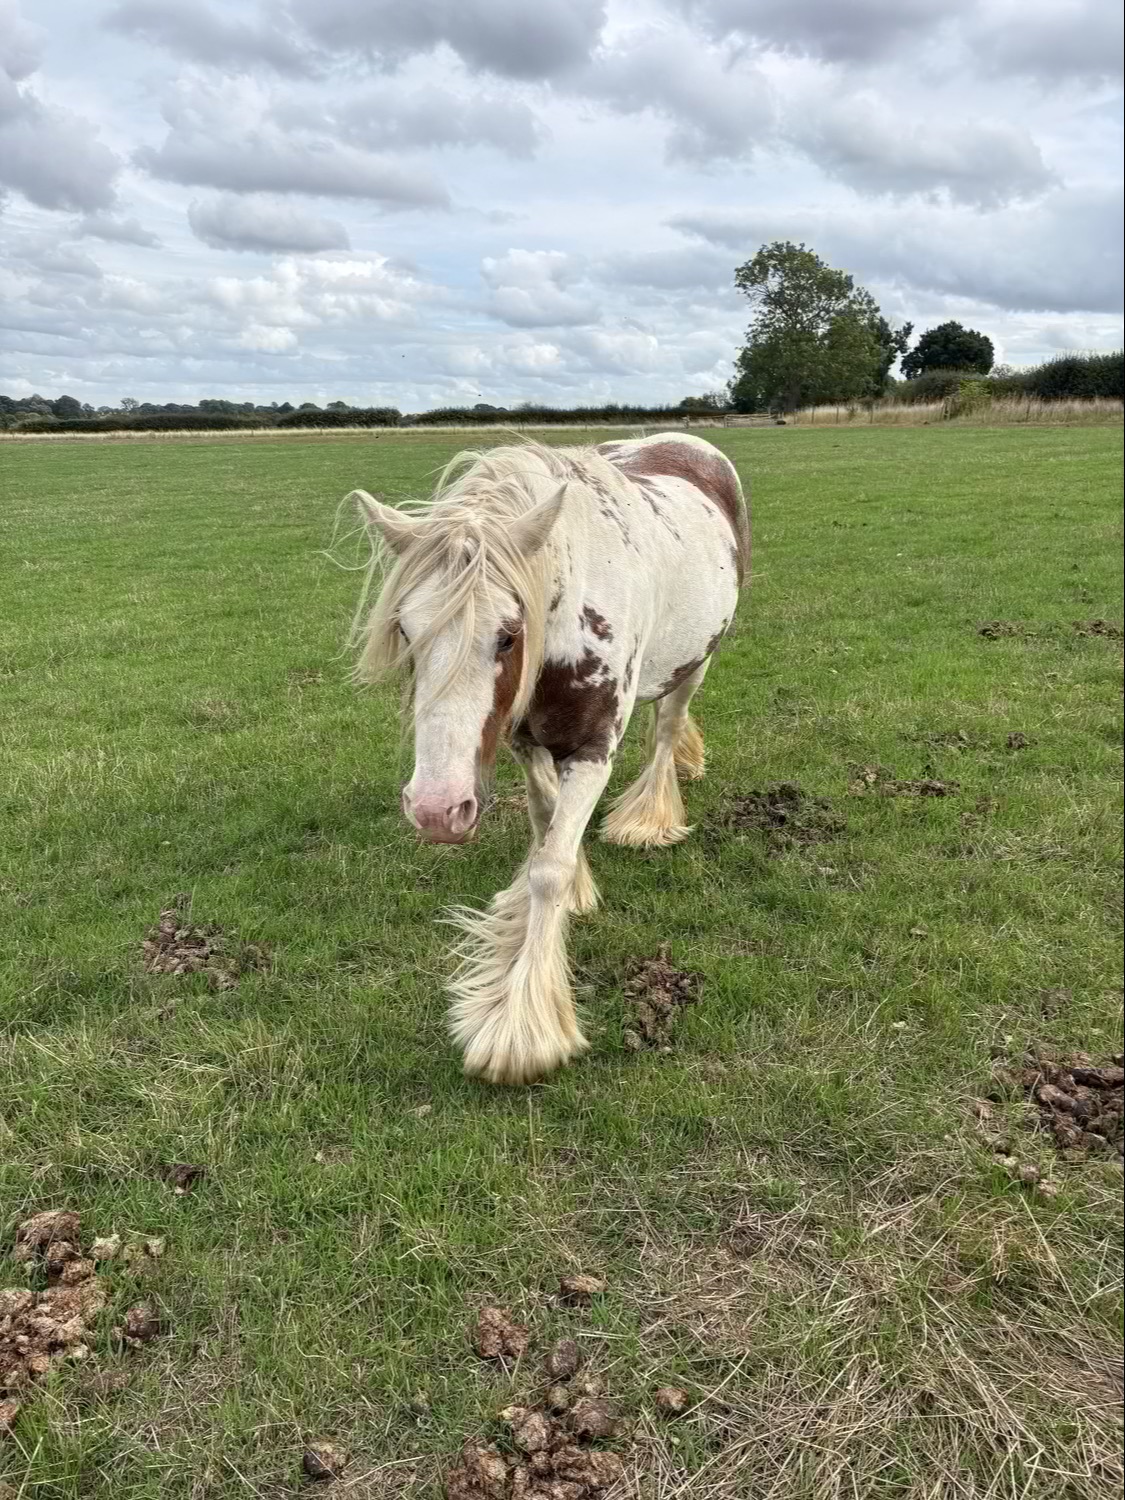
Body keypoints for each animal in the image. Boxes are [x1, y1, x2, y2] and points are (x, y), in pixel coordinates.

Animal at [347, 432, 749, 1085]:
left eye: (509, 634)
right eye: (406, 631)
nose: (435, 810)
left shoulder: (592, 752)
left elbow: (549, 869)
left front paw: (521, 1029)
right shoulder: (525, 742)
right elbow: (546, 826)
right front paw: (575, 889)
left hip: (697, 660)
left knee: (667, 729)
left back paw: (650, 818)